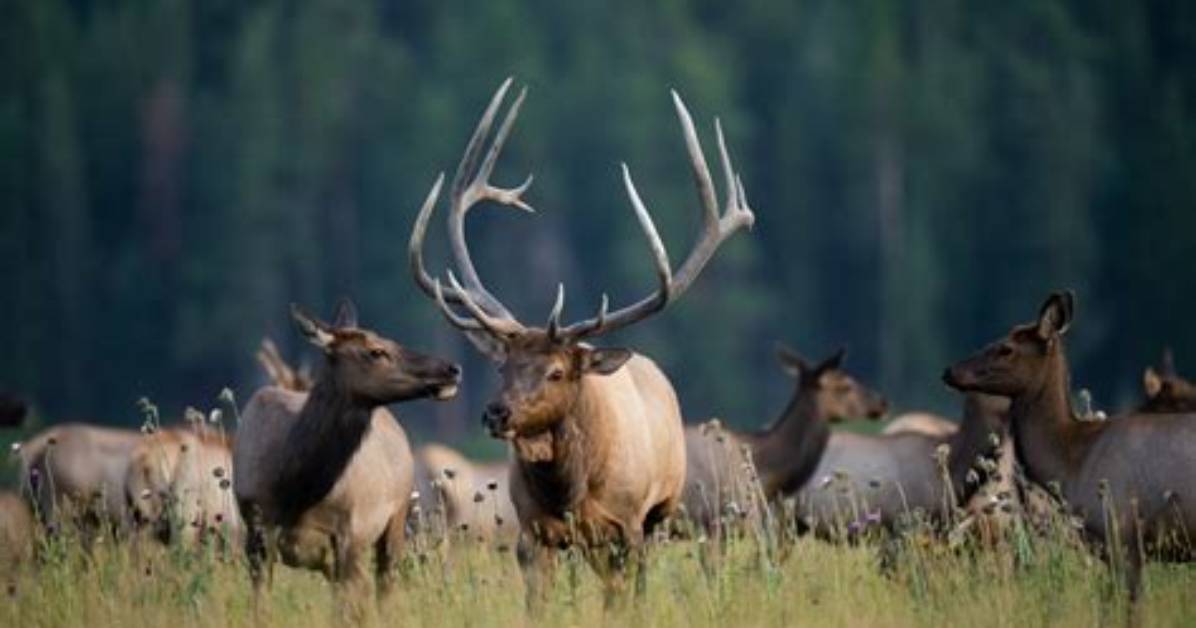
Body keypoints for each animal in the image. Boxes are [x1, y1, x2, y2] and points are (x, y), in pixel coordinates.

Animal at [232, 300, 461, 612]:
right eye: (376, 350)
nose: (452, 368)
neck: (293, 489)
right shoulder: (255, 532)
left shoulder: (350, 534)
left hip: (396, 518)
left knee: (383, 588)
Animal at [408, 78, 754, 606]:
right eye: (502, 366)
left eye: (556, 371)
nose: (495, 413)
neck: (569, 491)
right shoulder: (532, 534)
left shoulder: (628, 526)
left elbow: (625, 600)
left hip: (661, 511)